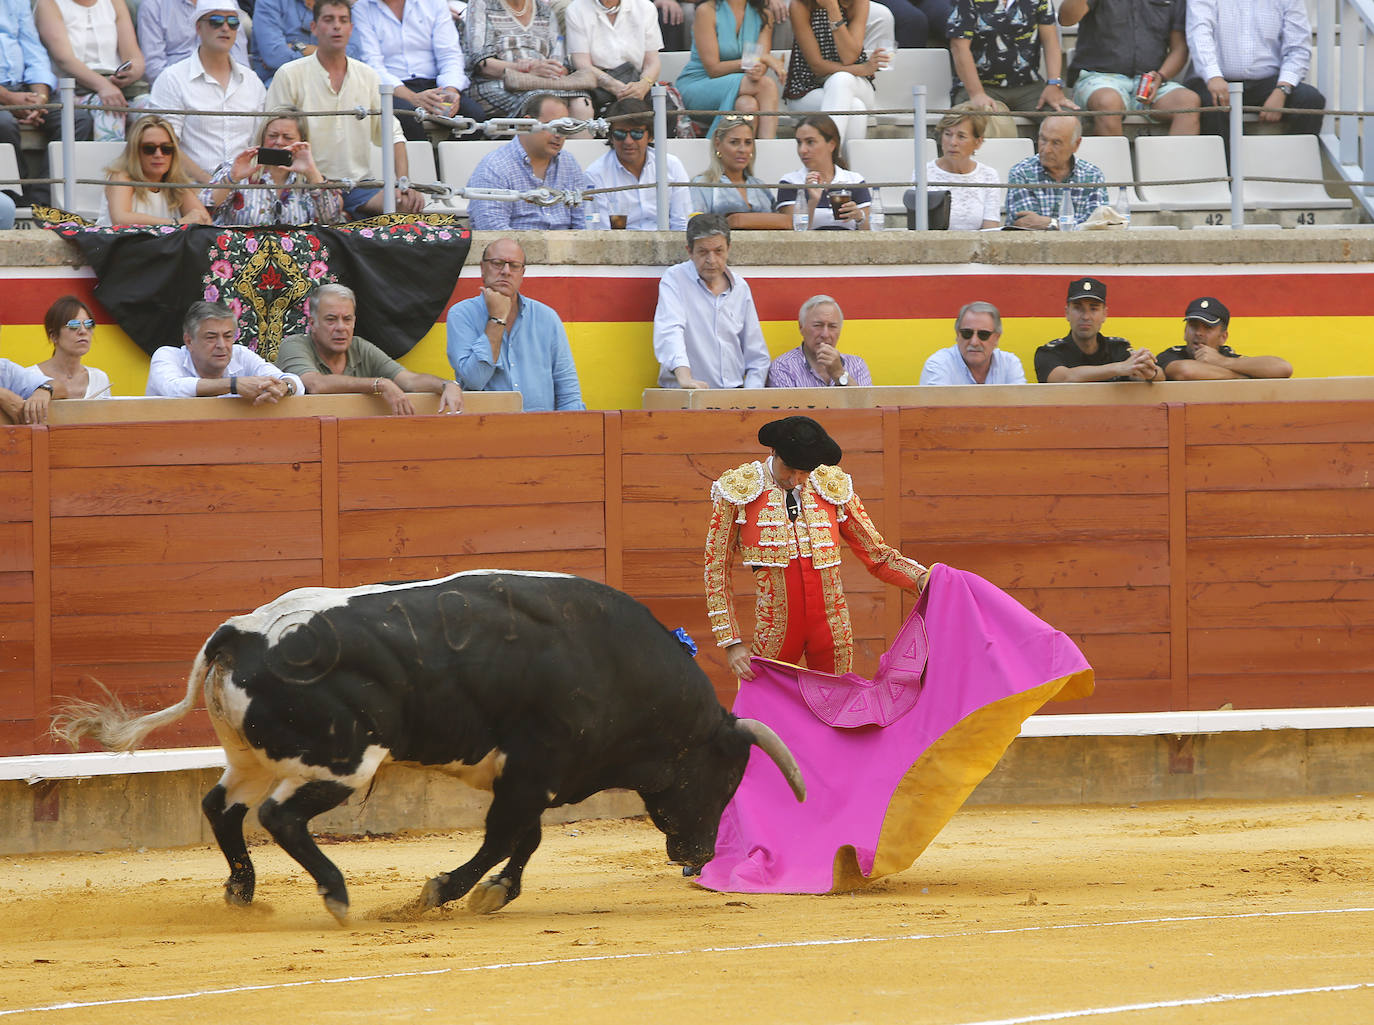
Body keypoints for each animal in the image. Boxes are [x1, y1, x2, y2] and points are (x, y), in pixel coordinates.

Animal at [53, 571, 802, 923]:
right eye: (725, 777)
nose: (699, 855)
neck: (613, 662)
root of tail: (240, 631)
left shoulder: (527, 777)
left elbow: (524, 839)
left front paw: (493, 894)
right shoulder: (534, 770)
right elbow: (504, 837)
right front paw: (440, 891)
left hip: (252, 755)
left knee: (223, 808)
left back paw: (242, 892)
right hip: (344, 759)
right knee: (279, 815)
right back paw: (336, 895)